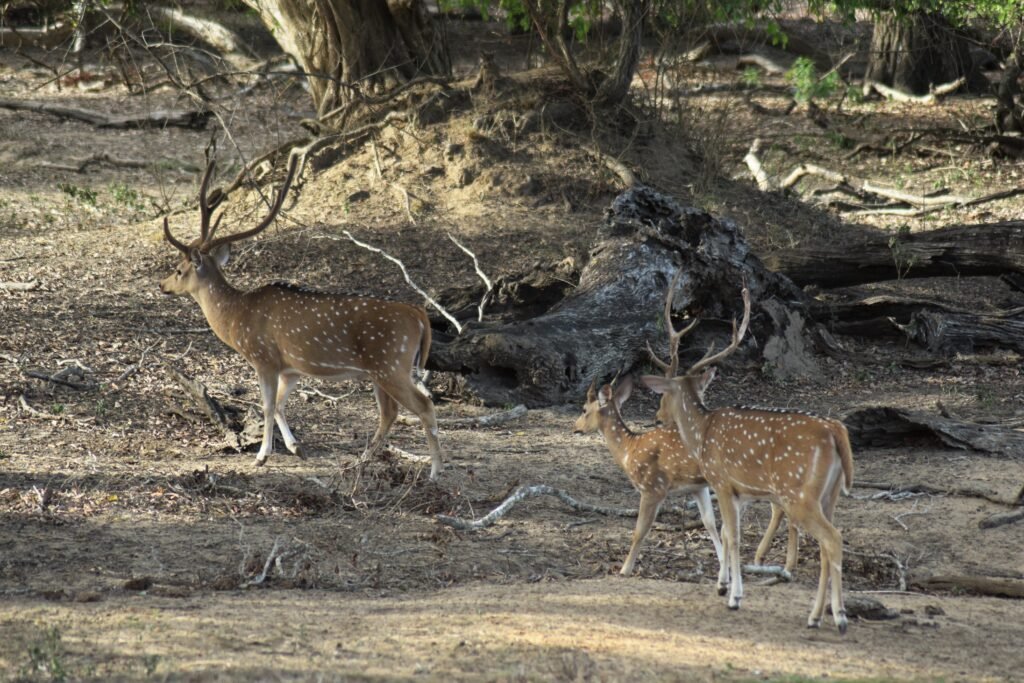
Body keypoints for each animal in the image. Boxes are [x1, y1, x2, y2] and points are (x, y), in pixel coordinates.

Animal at [159, 154, 444, 478]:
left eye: (178, 270)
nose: (162, 285)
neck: (236, 318)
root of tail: (418, 313)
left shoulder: (264, 357)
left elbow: (267, 406)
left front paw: (261, 456)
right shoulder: (291, 368)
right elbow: (282, 406)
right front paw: (296, 448)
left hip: (391, 363)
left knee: (424, 406)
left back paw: (435, 471)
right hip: (382, 370)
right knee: (389, 413)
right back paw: (359, 462)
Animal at [574, 375, 792, 579]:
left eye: (584, 409)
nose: (575, 427)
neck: (629, 450)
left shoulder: (653, 487)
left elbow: (640, 531)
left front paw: (624, 569)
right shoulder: (697, 487)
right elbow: (709, 522)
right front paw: (723, 565)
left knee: (782, 509)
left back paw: (778, 563)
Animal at [641, 275, 854, 634]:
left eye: (664, 395)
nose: (658, 417)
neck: (701, 433)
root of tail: (835, 431)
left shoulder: (722, 482)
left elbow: (734, 536)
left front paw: (734, 596)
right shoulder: (740, 494)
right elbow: (728, 534)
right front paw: (723, 585)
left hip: (799, 492)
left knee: (833, 539)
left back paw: (838, 617)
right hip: (832, 493)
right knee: (827, 545)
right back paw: (815, 616)